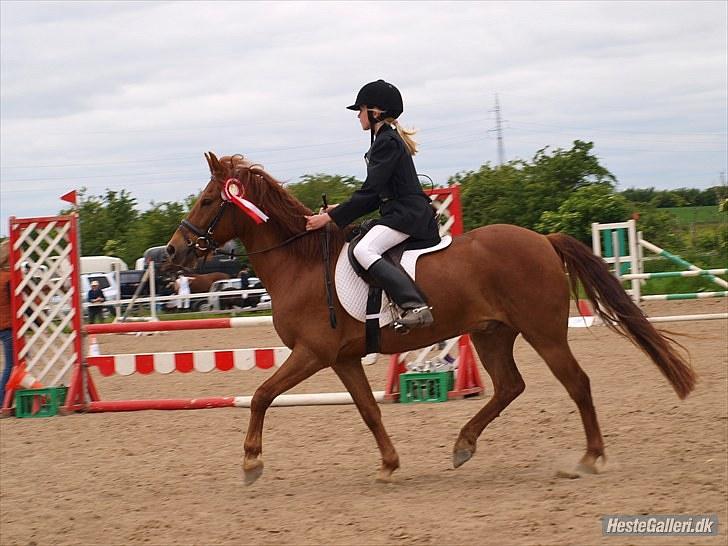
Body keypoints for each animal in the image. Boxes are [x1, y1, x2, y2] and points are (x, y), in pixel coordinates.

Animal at [165, 152, 695, 485]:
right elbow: (369, 410)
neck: (300, 263)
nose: (173, 252)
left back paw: (589, 459)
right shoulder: (342, 359)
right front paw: (388, 464)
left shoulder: (311, 353)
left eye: (209, 201)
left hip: (543, 332)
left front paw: (251, 463)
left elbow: (260, 395)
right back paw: (464, 444)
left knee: (577, 383)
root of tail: (543, 239)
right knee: (509, 386)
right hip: (491, 334)